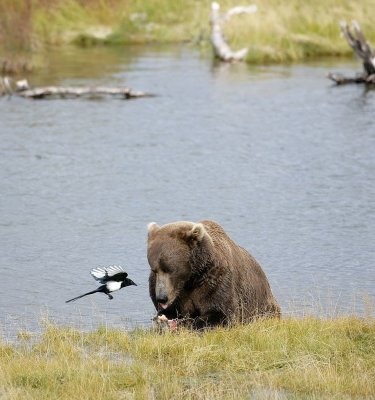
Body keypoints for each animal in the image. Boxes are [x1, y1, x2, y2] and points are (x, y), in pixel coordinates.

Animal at [148, 219, 280, 328]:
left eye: (170, 269)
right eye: (155, 269)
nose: (162, 298)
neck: (192, 278)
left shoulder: (216, 280)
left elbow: (221, 312)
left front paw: (190, 323)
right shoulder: (174, 291)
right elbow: (168, 312)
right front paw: (164, 320)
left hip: (264, 306)